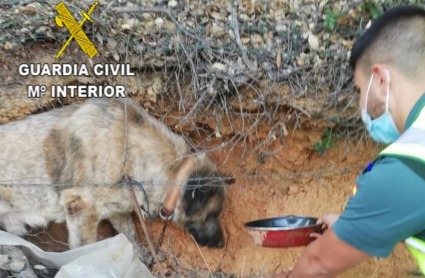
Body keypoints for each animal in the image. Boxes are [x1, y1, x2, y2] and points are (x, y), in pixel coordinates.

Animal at [0, 97, 225, 264]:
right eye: (212, 214)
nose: (223, 244)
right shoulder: (80, 209)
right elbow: (85, 247)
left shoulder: (118, 209)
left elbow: (131, 234)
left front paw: (142, 255)